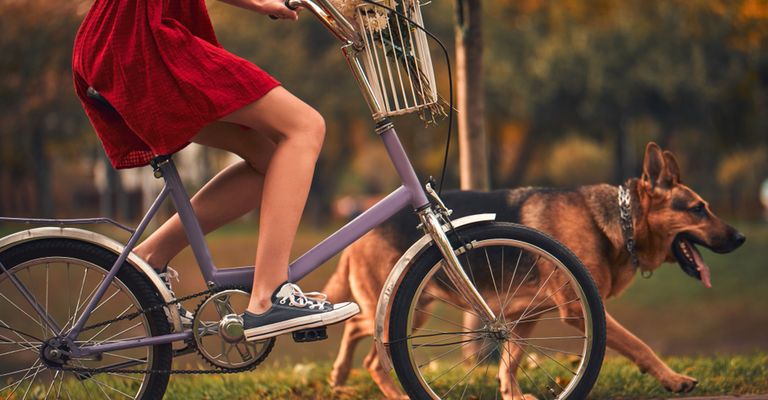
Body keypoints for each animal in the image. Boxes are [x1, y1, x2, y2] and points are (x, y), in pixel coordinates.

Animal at [322, 142, 744, 398]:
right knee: (371, 351)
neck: (617, 223)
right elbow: (638, 344)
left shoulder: (525, 314)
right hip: (405, 306)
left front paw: (511, 393)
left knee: (356, 329)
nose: (740, 237)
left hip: (413, 305)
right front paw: (674, 379)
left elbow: (511, 359)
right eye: (698, 209)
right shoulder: (577, 309)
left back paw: (339, 375)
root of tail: (361, 221)